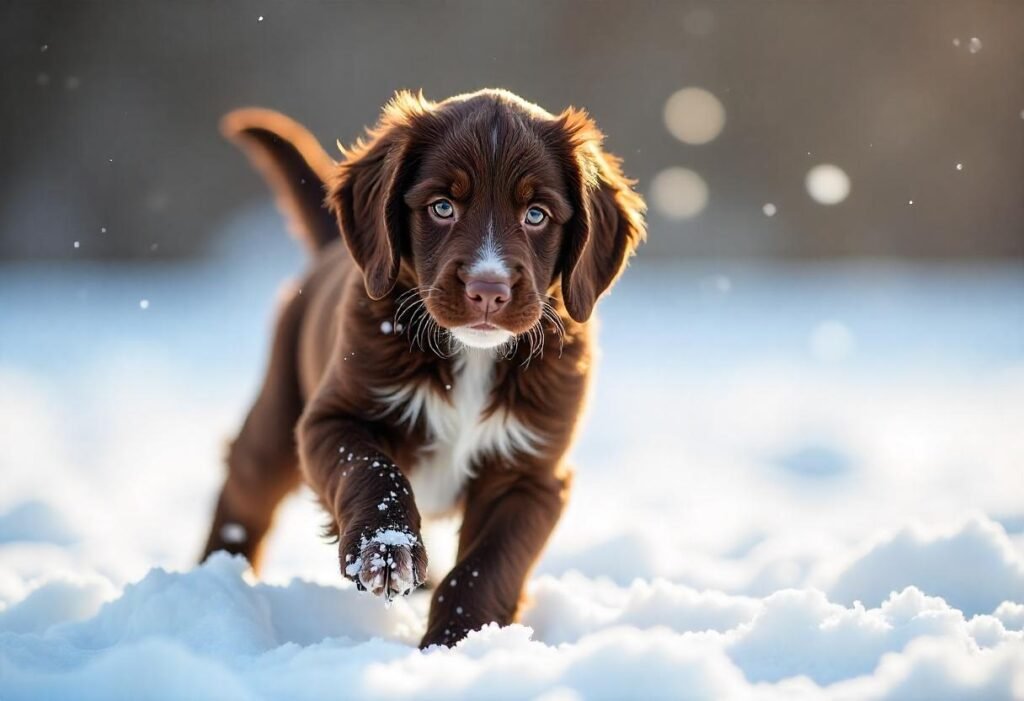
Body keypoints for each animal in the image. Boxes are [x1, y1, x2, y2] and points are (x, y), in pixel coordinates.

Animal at [200, 90, 643, 646]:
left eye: (537, 214)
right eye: (442, 207)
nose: (488, 291)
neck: (473, 355)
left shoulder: (532, 471)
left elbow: (490, 562)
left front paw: (456, 642)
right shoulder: (332, 418)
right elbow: (373, 469)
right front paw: (387, 551)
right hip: (278, 412)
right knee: (244, 496)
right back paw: (216, 579)